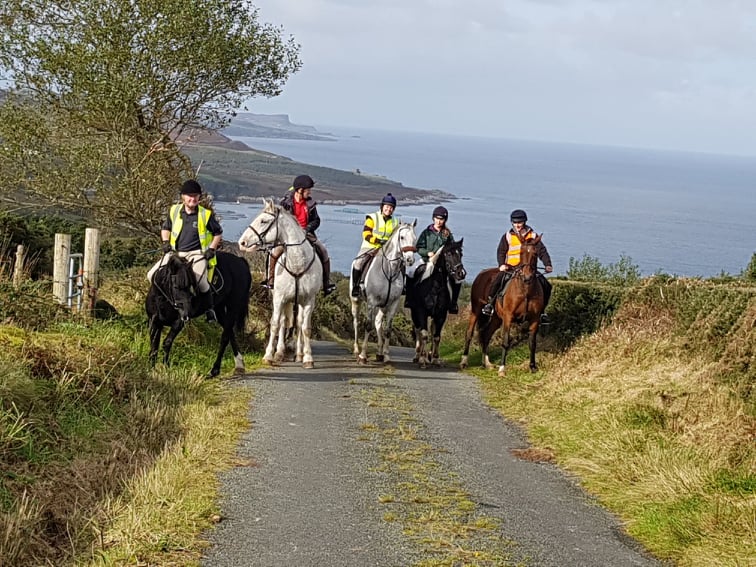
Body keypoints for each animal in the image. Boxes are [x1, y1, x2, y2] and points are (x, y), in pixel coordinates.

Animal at [237, 199, 322, 368]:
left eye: (263, 221)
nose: (242, 242)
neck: (297, 263)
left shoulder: (309, 300)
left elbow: (305, 328)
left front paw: (308, 358)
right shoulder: (279, 298)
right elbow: (276, 324)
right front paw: (268, 356)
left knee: (298, 323)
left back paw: (298, 354)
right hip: (284, 300)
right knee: (284, 322)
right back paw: (279, 353)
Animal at [351, 219, 417, 365]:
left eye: (415, 239)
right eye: (402, 237)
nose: (410, 260)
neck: (389, 270)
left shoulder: (393, 304)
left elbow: (387, 330)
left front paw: (386, 355)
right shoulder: (371, 302)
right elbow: (368, 326)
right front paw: (363, 356)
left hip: (383, 305)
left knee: (378, 323)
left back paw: (379, 353)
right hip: (357, 301)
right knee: (357, 322)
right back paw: (357, 350)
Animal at [408, 239, 466, 368]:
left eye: (461, 254)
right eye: (448, 254)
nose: (461, 273)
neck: (436, 286)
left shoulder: (440, 315)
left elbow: (436, 336)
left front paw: (435, 358)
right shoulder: (421, 312)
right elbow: (424, 335)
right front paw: (423, 359)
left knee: (431, 330)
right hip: (414, 313)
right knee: (418, 331)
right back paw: (417, 355)